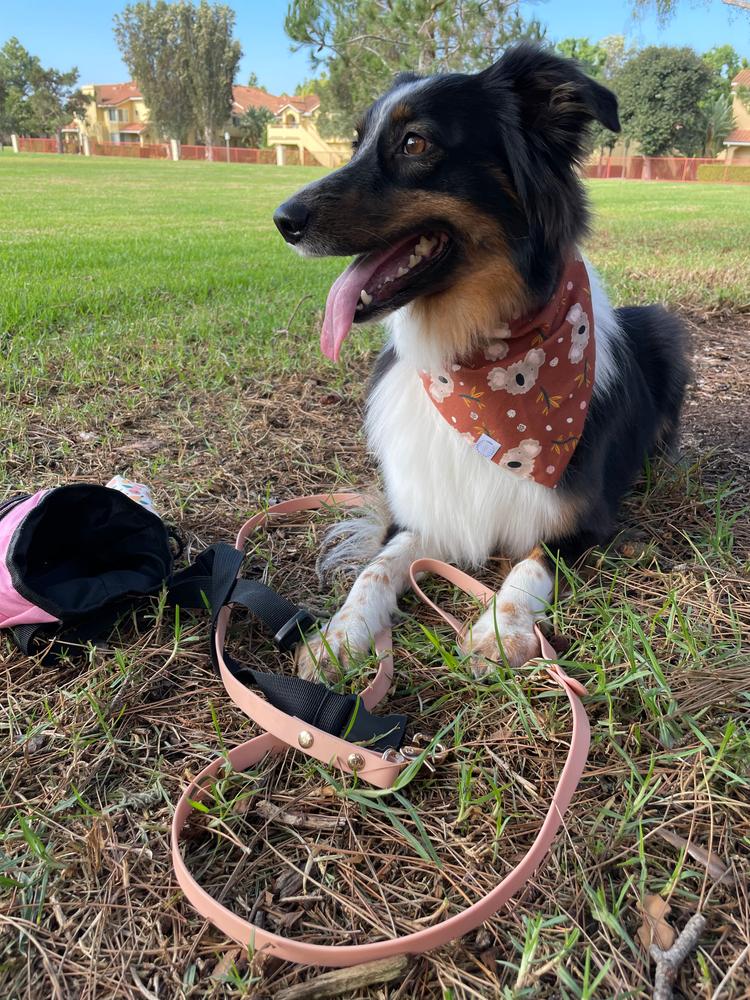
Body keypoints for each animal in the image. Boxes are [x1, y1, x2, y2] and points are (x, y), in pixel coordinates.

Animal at [274, 43, 692, 676]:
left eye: (414, 143)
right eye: (356, 142)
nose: (282, 220)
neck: (480, 363)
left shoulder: (583, 519)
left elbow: (531, 564)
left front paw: (500, 627)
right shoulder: (420, 511)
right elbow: (377, 567)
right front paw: (341, 635)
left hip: (667, 331)